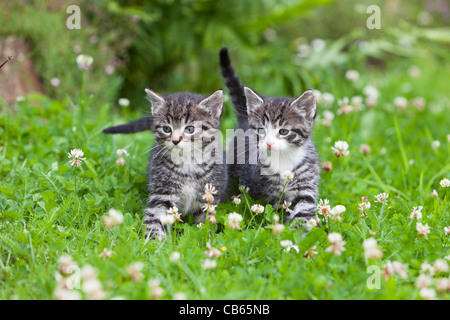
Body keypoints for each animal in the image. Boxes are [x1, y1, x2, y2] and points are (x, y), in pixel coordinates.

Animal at [103, 87, 229, 238]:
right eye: (167, 129)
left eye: (190, 129)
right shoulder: (162, 195)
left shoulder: (208, 197)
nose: (175, 140)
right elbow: (155, 218)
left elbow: (206, 222)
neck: (188, 163)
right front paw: (152, 241)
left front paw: (205, 237)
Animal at [219, 48, 320, 226]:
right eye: (261, 130)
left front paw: (301, 232)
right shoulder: (273, 194)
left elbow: (303, 214)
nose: (269, 144)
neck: (284, 159)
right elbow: (279, 214)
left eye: (284, 131)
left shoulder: (305, 183)